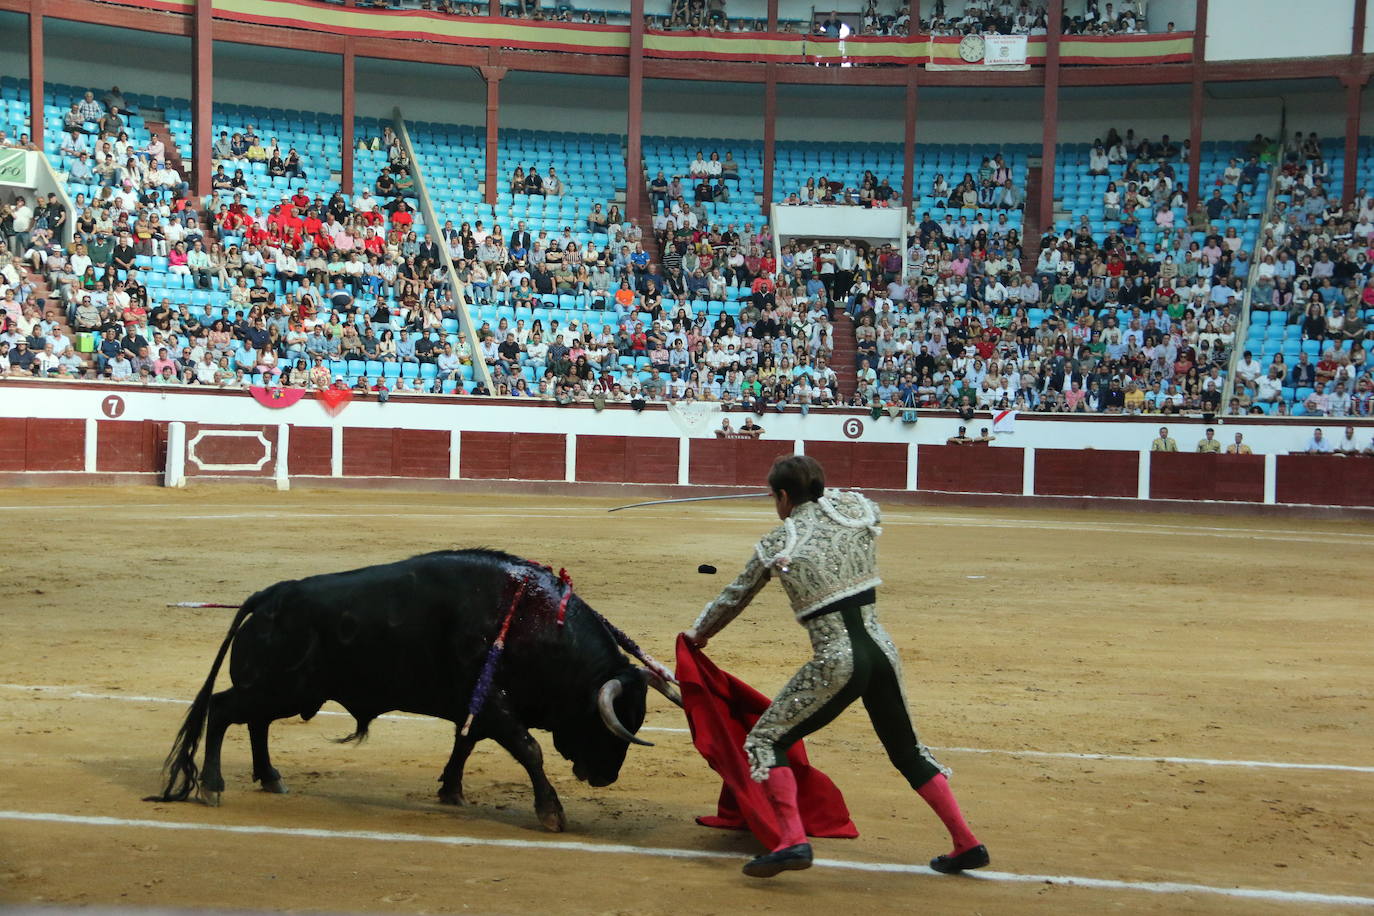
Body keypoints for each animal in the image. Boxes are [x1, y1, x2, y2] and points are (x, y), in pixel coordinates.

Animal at [149, 549, 676, 834]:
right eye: (606, 724)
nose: (604, 778)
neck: (536, 623)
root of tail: (270, 596)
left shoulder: (476, 706)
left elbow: (464, 743)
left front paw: (451, 791)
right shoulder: (493, 703)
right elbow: (528, 749)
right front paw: (551, 813)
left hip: (285, 691)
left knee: (254, 722)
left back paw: (271, 778)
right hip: (276, 686)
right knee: (222, 711)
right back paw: (213, 787)